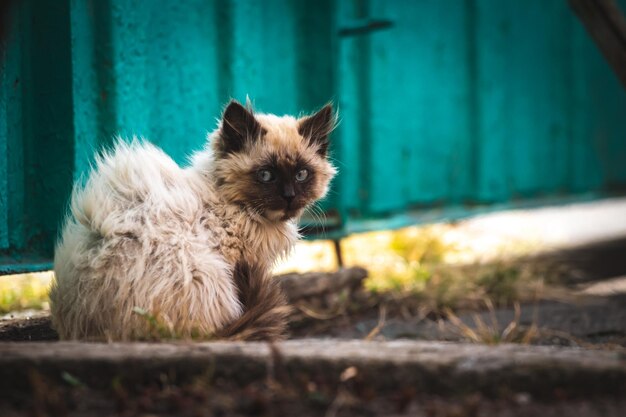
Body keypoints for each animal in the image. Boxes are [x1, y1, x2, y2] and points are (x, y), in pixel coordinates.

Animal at [48, 101, 336, 342]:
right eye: (266, 175)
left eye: (301, 174)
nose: (289, 197)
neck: (233, 206)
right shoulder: (231, 261)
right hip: (203, 269)